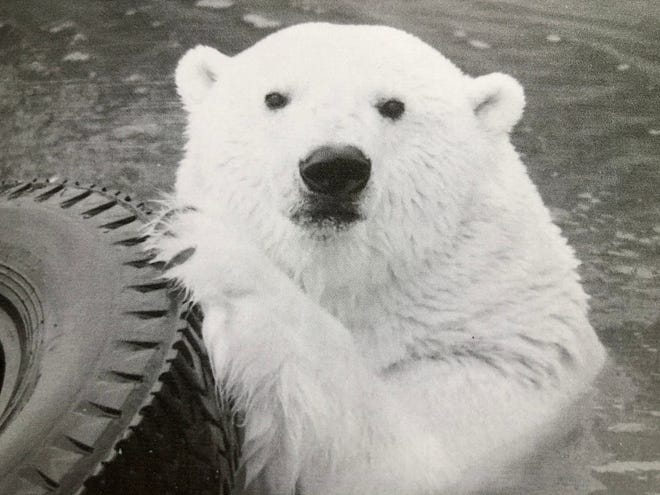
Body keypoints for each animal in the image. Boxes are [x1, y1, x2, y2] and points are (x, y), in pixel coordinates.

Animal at [148, 22, 604, 495]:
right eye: (274, 97)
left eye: (392, 105)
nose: (333, 166)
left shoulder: (505, 366)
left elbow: (403, 458)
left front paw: (209, 249)